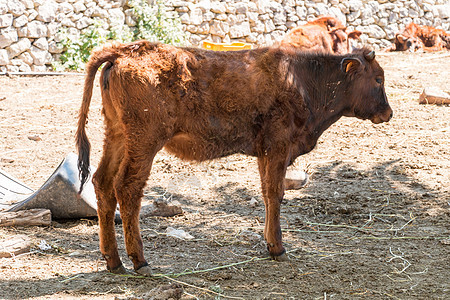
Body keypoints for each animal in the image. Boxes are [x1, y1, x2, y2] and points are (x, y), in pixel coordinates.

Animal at [75, 41, 392, 276]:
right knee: (128, 189)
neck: (303, 79)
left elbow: (267, 194)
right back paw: (140, 261)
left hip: (117, 136)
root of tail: (125, 51)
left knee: (102, 183)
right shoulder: (278, 146)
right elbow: (275, 194)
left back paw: (113, 261)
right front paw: (278, 248)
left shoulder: (265, 152)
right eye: (378, 79)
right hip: (144, 143)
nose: (388, 113)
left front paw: (269, 244)